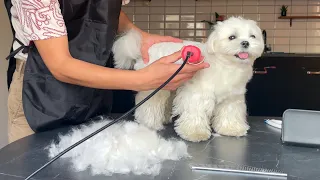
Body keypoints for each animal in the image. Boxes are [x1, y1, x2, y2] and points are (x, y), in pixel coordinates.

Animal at [111, 16, 264, 142]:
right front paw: (195, 133)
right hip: (156, 86)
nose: (245, 43)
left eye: (252, 36)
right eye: (232, 37)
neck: (226, 65)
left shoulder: (232, 98)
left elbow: (230, 112)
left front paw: (231, 129)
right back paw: (149, 123)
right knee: (149, 103)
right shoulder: (197, 95)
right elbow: (195, 113)